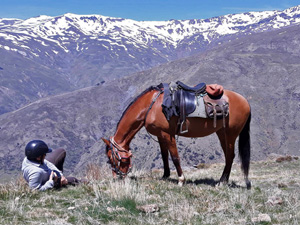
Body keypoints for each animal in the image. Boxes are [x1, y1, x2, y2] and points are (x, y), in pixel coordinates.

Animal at [102, 85, 252, 189]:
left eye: (111, 158)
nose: (116, 177)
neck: (151, 106)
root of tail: (245, 101)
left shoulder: (168, 134)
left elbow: (175, 157)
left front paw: (181, 180)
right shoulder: (160, 135)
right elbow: (164, 156)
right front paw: (165, 175)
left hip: (231, 134)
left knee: (230, 156)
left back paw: (221, 182)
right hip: (221, 133)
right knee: (228, 155)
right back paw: (223, 180)